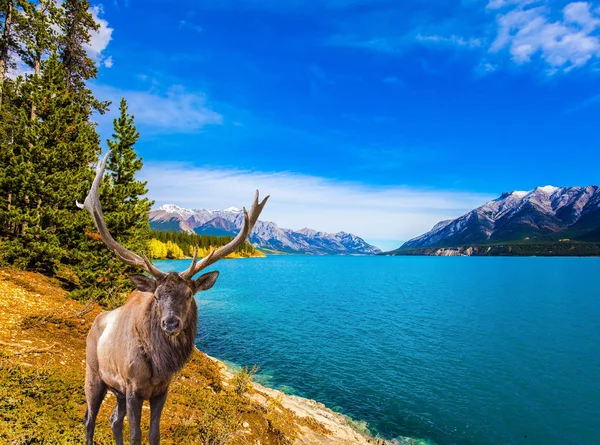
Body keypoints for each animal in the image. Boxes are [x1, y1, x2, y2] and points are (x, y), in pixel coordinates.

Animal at [77, 153, 270, 444]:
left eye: (189, 294)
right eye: (157, 296)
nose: (170, 323)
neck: (158, 366)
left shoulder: (162, 390)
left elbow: (154, 434)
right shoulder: (132, 388)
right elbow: (136, 435)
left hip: (116, 390)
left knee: (113, 420)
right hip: (94, 374)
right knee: (89, 418)